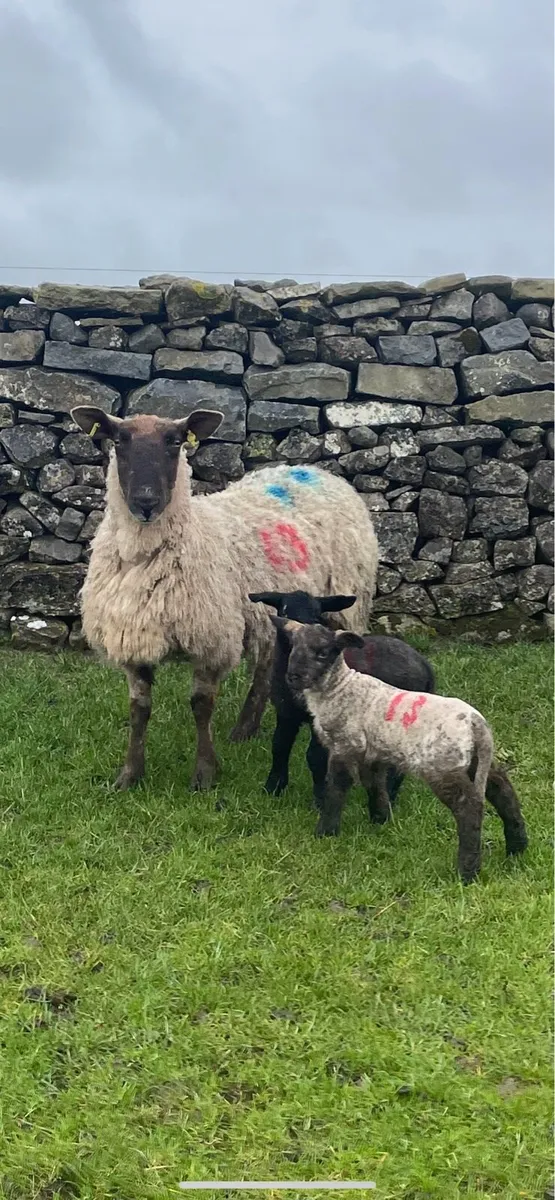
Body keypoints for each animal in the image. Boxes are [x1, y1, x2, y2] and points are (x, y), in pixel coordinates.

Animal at [70, 405, 379, 792]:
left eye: (174, 442)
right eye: (118, 440)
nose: (146, 502)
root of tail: (314, 470)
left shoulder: (210, 639)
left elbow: (201, 705)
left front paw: (204, 774)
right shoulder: (132, 639)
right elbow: (138, 709)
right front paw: (130, 775)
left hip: (349, 601)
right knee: (266, 664)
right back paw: (245, 728)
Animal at [248, 589, 435, 811]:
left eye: (317, 614)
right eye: (284, 611)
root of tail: (425, 665)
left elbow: (315, 757)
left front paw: (320, 799)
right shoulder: (286, 713)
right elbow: (279, 746)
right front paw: (272, 789)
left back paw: (389, 796)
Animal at [271, 618, 528, 882]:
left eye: (322, 652)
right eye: (293, 648)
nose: (293, 677)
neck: (339, 687)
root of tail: (476, 724)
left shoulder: (346, 745)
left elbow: (336, 787)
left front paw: (326, 831)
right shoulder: (372, 752)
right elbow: (375, 784)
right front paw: (379, 819)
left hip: (442, 766)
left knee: (469, 807)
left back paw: (467, 872)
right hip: (475, 761)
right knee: (502, 789)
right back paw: (517, 846)